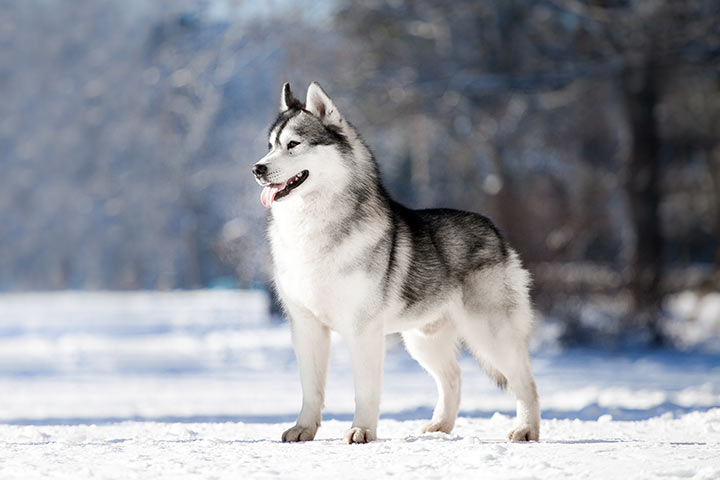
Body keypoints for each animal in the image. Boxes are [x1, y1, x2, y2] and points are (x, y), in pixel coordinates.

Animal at [253, 81, 540, 442]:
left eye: (293, 145)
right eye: (270, 147)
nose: (257, 169)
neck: (313, 230)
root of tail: (495, 230)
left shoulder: (363, 331)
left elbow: (365, 389)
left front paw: (362, 430)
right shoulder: (306, 328)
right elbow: (311, 389)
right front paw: (304, 429)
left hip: (490, 333)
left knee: (525, 381)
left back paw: (527, 429)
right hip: (423, 339)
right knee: (454, 376)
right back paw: (440, 426)